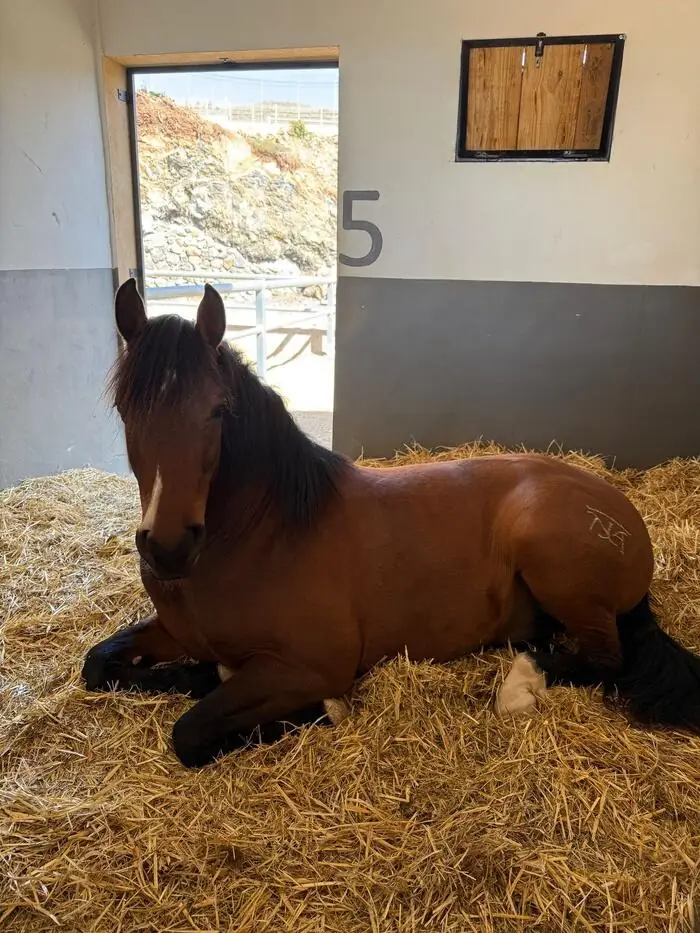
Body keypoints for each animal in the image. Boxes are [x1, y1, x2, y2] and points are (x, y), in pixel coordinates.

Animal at [82, 279, 700, 767]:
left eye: (216, 409)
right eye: (125, 410)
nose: (167, 548)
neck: (260, 535)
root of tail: (619, 509)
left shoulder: (313, 666)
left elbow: (191, 733)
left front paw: (322, 710)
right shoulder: (176, 632)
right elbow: (99, 662)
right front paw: (193, 676)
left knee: (607, 658)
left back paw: (522, 685)